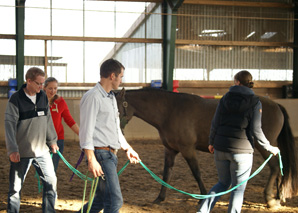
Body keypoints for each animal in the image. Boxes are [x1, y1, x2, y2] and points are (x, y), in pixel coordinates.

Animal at [116, 86, 298, 208]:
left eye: (116, 109)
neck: (170, 111)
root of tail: (276, 105)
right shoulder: (170, 150)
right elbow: (166, 174)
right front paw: (159, 198)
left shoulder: (188, 149)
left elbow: (196, 173)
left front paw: (204, 197)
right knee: (279, 167)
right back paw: (278, 197)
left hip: (264, 145)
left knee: (275, 167)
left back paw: (269, 199)